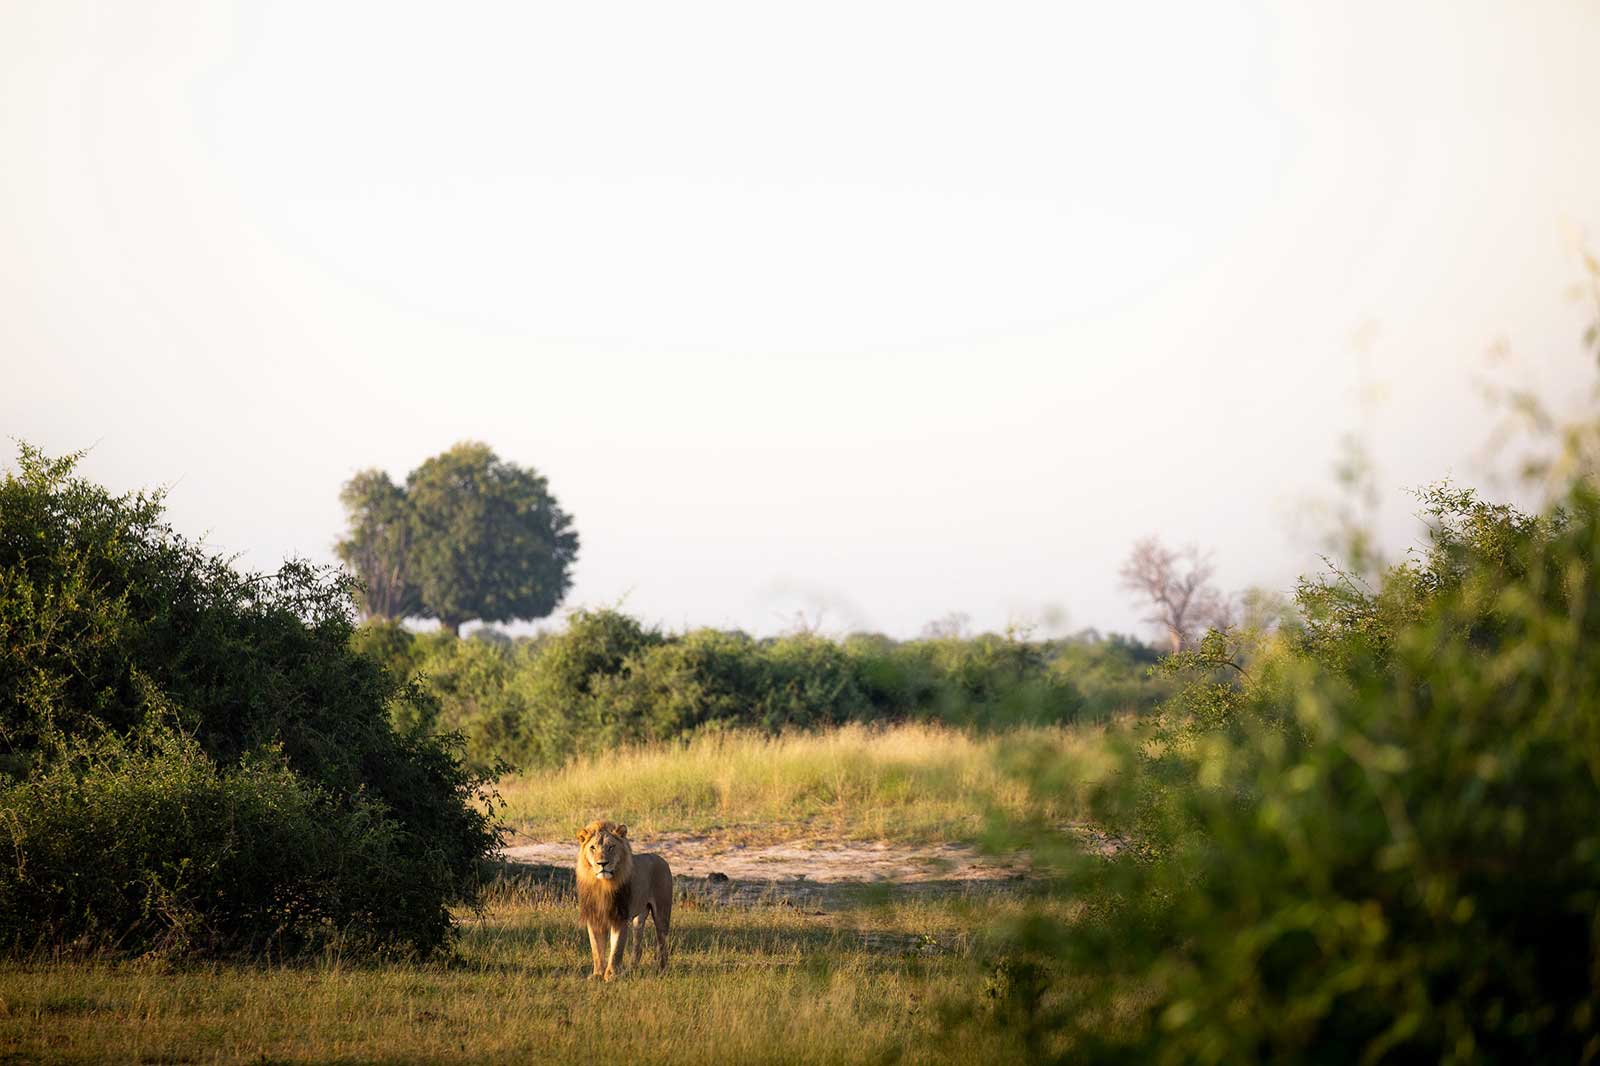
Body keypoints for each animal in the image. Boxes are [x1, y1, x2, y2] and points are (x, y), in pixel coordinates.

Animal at [575, 820, 672, 980]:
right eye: (592, 847)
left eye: (611, 847)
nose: (602, 863)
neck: (602, 885)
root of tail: (661, 858)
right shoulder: (594, 918)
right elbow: (596, 950)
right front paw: (597, 975)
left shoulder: (620, 917)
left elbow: (616, 950)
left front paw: (611, 975)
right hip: (639, 919)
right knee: (638, 947)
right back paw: (631, 970)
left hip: (662, 914)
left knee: (662, 944)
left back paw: (662, 971)